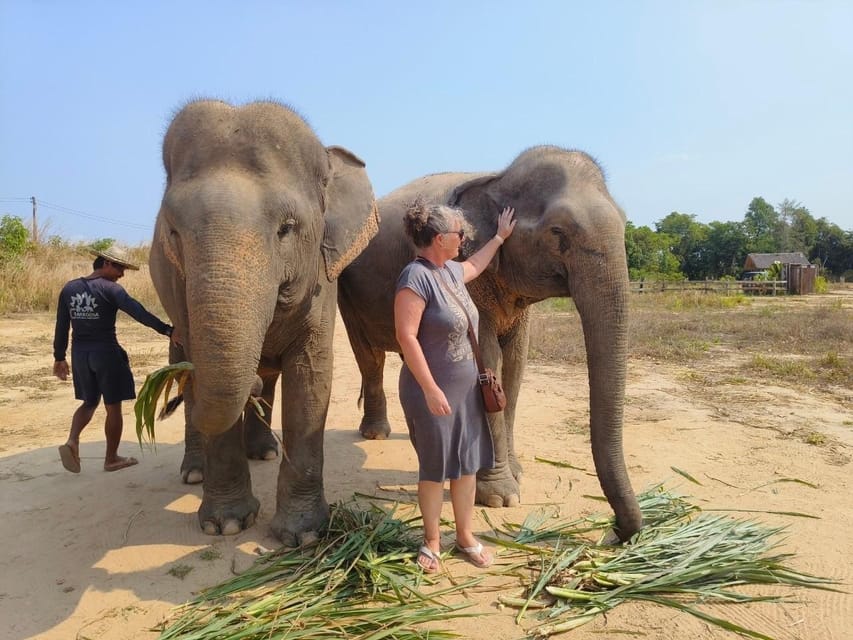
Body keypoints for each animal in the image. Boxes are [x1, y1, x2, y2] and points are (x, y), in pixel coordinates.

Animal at [150, 100, 380, 544]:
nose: (251, 384)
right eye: (172, 232)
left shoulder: (322, 280)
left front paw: (304, 535)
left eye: (287, 229)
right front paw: (226, 525)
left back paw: (264, 449)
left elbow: (310, 376)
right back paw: (195, 472)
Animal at [336, 145, 644, 540]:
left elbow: (514, 365)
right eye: (557, 231)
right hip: (346, 289)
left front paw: (517, 473)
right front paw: (500, 497)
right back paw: (376, 434)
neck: (497, 179)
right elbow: (488, 360)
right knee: (370, 357)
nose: (618, 532)